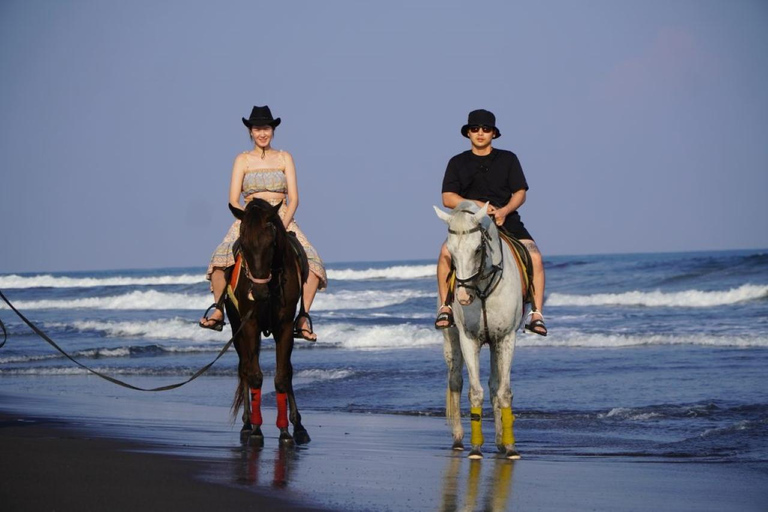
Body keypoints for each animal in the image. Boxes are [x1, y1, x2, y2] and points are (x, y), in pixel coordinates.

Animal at [225, 198, 312, 446]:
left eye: (271, 243)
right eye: (243, 244)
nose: (259, 292)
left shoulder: (284, 327)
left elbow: (283, 376)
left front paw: (286, 431)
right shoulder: (249, 325)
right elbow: (254, 376)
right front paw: (256, 430)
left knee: (286, 371)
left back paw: (298, 426)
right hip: (236, 329)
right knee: (244, 369)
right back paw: (246, 425)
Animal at [436, 200, 524, 460]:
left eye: (477, 250)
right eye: (451, 253)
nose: (464, 297)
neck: (483, 287)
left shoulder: (505, 338)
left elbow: (503, 392)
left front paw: (510, 446)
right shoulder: (468, 339)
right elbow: (475, 391)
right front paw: (476, 448)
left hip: (495, 343)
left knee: (495, 385)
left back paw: (500, 441)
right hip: (451, 341)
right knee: (455, 380)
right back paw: (458, 439)